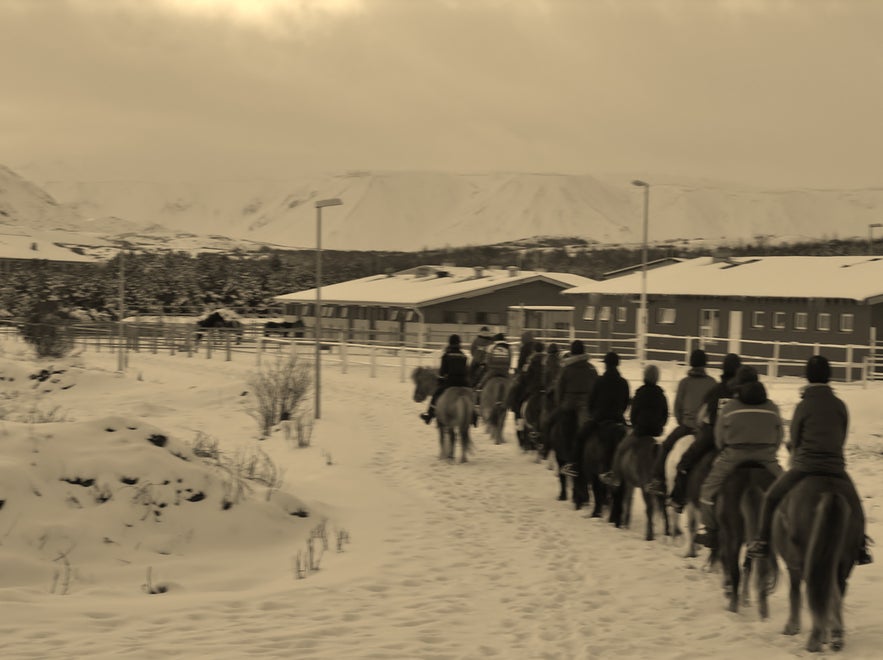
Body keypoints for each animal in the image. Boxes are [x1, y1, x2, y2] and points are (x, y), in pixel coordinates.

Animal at [720, 462, 780, 616]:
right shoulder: (751, 542)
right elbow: (748, 566)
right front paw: (746, 598)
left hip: (733, 537)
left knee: (735, 569)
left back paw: (733, 607)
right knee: (761, 569)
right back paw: (763, 610)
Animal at [772, 476, 864, 652]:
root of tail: (832, 492)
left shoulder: (794, 566)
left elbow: (794, 594)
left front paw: (792, 627)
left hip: (811, 562)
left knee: (822, 594)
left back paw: (816, 640)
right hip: (841, 562)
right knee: (833, 593)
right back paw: (835, 637)